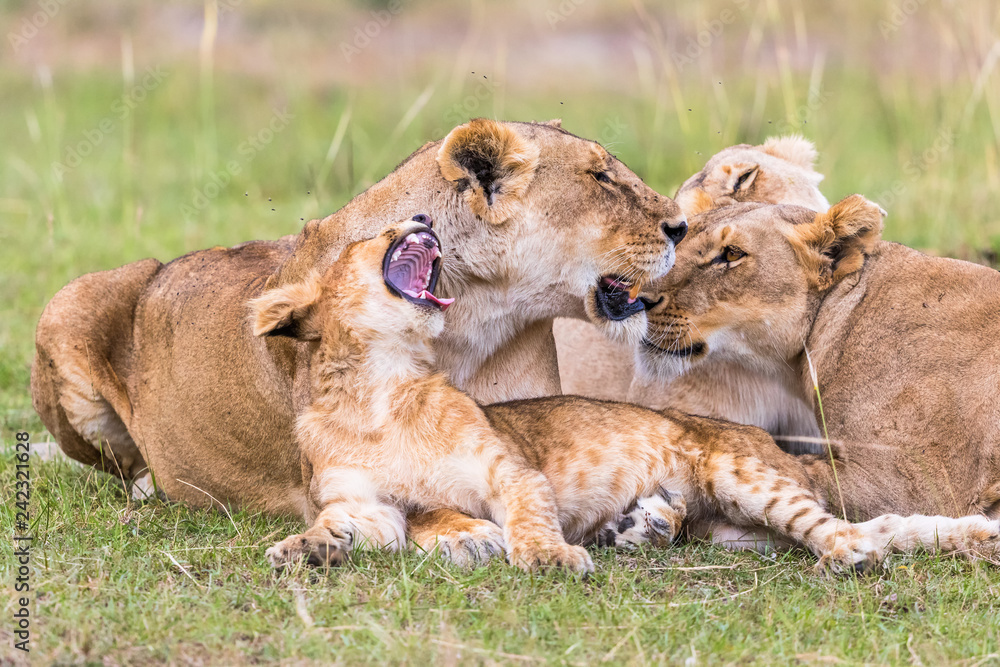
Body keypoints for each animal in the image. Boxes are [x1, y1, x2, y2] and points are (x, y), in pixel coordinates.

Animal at [31, 119, 687, 562]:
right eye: (600, 177)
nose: (681, 227)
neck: (479, 315)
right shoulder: (329, 474)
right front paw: (465, 533)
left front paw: (645, 518)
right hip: (68, 303)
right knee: (125, 467)